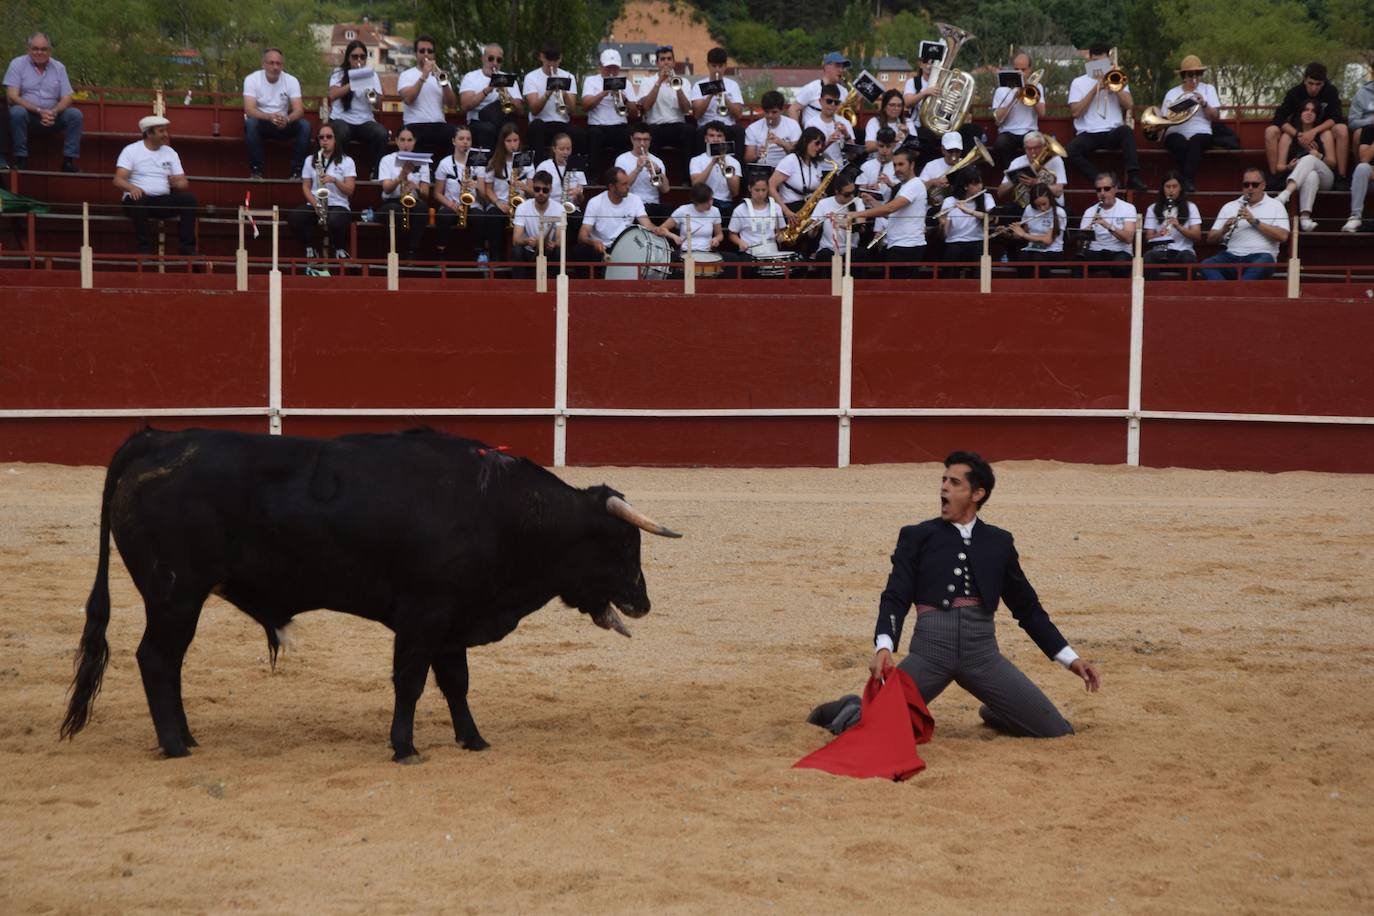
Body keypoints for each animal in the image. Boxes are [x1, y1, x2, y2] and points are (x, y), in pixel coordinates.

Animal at [60, 431, 681, 758]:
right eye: (621, 543)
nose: (643, 601)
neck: (499, 510)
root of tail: (157, 437)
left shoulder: (453, 619)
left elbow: (455, 683)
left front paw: (473, 740)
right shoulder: (424, 614)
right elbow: (410, 681)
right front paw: (404, 747)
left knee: (165, 663)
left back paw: (186, 736)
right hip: (175, 596)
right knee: (157, 660)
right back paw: (176, 744)